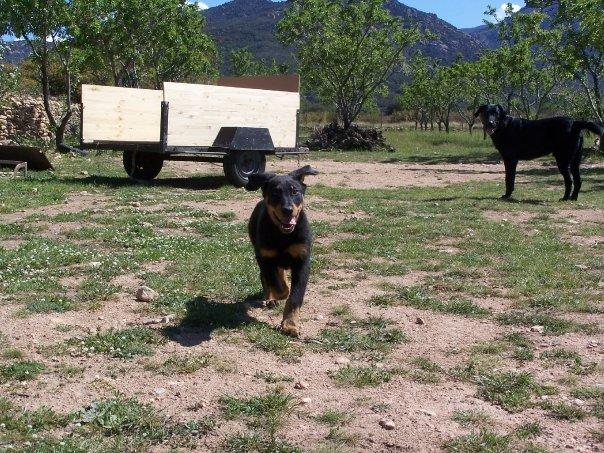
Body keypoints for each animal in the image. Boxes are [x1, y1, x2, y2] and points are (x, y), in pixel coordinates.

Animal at [247, 166, 320, 336]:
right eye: (275, 193)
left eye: (295, 191)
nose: (287, 210)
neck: (283, 235)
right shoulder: (264, 257)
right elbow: (277, 284)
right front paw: (281, 292)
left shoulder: (302, 261)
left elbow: (295, 296)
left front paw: (290, 325)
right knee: (266, 276)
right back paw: (271, 298)